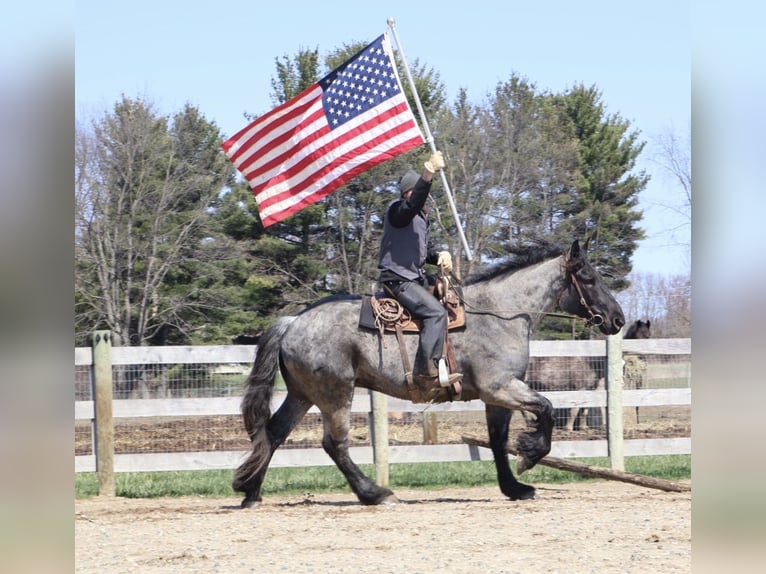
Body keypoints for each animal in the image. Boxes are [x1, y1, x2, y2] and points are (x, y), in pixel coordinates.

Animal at [233, 240, 625, 506]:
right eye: (589, 277)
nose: (618, 319)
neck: (500, 313)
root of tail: (293, 321)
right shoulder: (501, 387)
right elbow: (545, 408)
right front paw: (529, 455)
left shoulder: (496, 398)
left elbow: (498, 441)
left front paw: (513, 487)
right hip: (335, 395)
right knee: (334, 444)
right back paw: (375, 493)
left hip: (303, 395)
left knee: (274, 432)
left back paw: (250, 490)